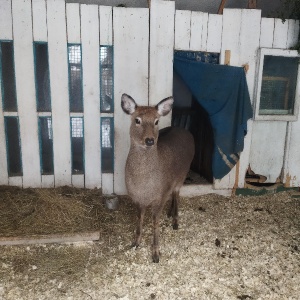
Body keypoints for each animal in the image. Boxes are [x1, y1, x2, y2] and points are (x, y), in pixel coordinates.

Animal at [121, 94, 195, 262]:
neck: (143, 186)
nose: (150, 140)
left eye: (156, 121)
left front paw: (156, 253)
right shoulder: (136, 198)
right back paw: (170, 213)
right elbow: (139, 219)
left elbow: (155, 223)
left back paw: (175, 220)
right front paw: (135, 243)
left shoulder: (159, 198)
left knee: (177, 193)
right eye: (137, 120)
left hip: (183, 174)